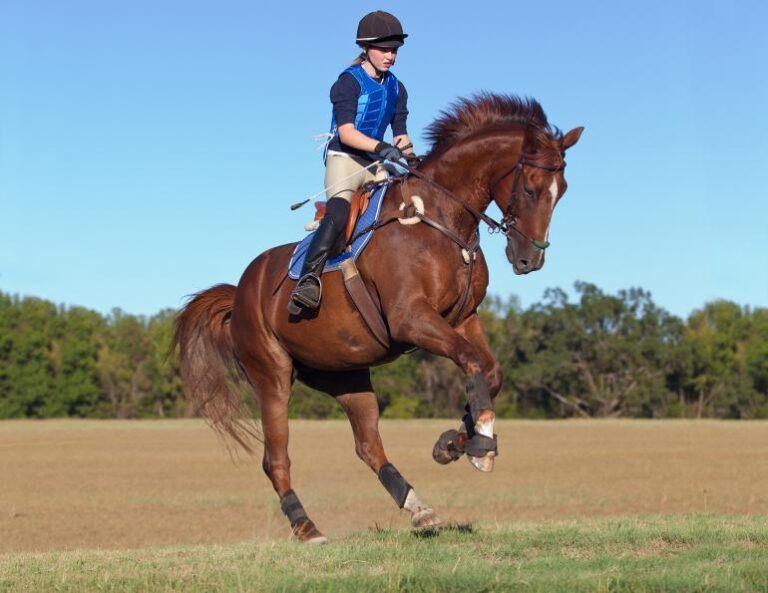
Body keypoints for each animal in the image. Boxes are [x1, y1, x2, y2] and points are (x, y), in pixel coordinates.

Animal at [173, 93, 583, 543]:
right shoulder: (411, 319)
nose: (529, 260)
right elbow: (472, 362)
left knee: (368, 446)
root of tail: (241, 290)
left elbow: (490, 372)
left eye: (561, 192)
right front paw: (481, 446)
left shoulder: (462, 317)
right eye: (529, 188)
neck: (438, 217)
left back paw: (418, 508)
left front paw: (454, 442)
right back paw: (307, 527)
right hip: (272, 377)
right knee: (275, 458)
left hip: (346, 375)